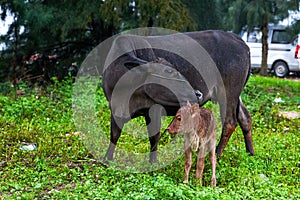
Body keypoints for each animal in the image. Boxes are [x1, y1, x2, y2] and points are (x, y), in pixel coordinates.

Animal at [101, 30, 253, 164]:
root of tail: (238, 40)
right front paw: (107, 160)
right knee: (245, 118)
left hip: (228, 92)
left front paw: (152, 164)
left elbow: (154, 136)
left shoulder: (154, 108)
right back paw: (250, 154)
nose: (197, 93)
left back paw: (216, 155)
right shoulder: (113, 107)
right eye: (168, 71)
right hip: (235, 95)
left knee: (230, 122)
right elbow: (114, 134)